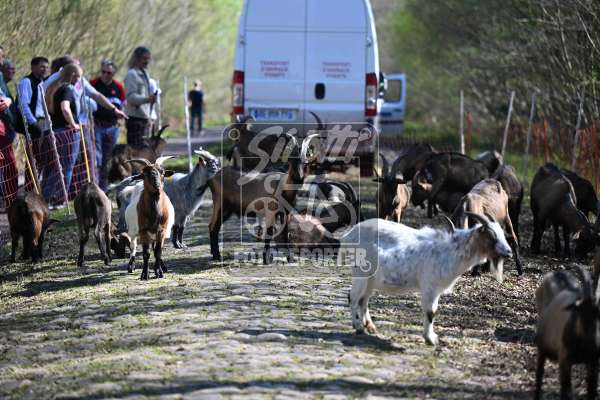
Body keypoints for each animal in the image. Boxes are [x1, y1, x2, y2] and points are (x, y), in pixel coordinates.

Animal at [208, 134, 318, 263]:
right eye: (292, 162)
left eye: (305, 164)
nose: (299, 179)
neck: (282, 187)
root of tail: (214, 177)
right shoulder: (270, 211)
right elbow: (269, 233)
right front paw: (266, 259)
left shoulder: (286, 213)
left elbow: (285, 234)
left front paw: (290, 258)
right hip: (219, 203)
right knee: (213, 226)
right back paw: (217, 256)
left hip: (228, 209)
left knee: (214, 227)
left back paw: (215, 255)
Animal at [340, 213, 512, 345]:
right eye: (491, 235)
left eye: (502, 234)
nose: (508, 252)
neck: (450, 251)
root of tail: (349, 235)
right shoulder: (430, 287)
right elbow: (431, 312)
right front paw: (431, 339)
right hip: (360, 274)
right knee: (353, 297)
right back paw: (358, 327)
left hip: (370, 280)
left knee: (364, 299)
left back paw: (370, 327)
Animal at [535, 266, 600, 400]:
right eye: (580, 310)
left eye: (598, 312)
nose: (592, 342)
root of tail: (556, 273)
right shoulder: (565, 360)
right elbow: (567, 392)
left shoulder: (593, 363)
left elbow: (591, 391)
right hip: (542, 348)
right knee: (539, 378)